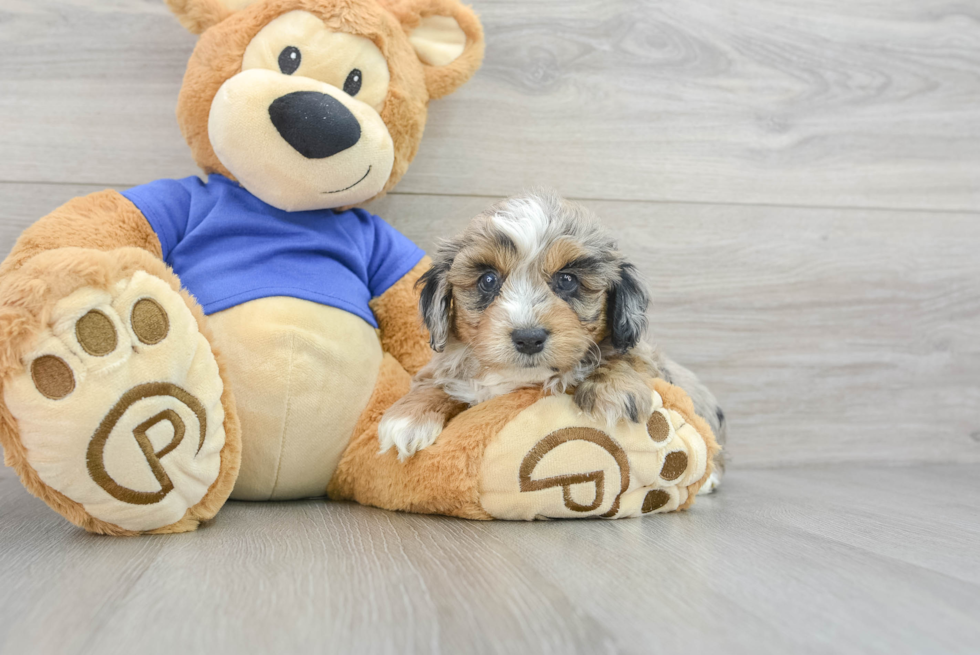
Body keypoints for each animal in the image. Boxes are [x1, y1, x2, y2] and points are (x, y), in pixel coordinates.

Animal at [378, 192, 724, 490]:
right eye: (488, 279)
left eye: (567, 280)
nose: (528, 338)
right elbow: (436, 380)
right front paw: (407, 417)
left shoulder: (642, 353)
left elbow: (626, 356)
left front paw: (613, 389)